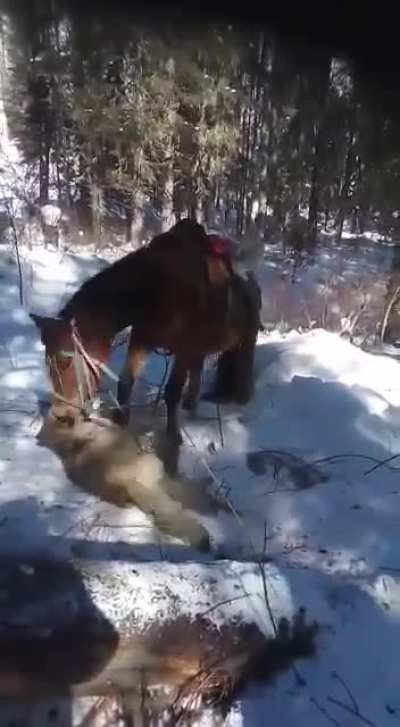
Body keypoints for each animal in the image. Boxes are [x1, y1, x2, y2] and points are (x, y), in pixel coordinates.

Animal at [30, 219, 262, 448]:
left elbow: (172, 391)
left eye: (66, 360)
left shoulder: (184, 349)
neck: (156, 291)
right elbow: (126, 382)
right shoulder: (142, 340)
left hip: (244, 340)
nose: (61, 414)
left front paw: (173, 438)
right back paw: (191, 406)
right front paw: (120, 423)